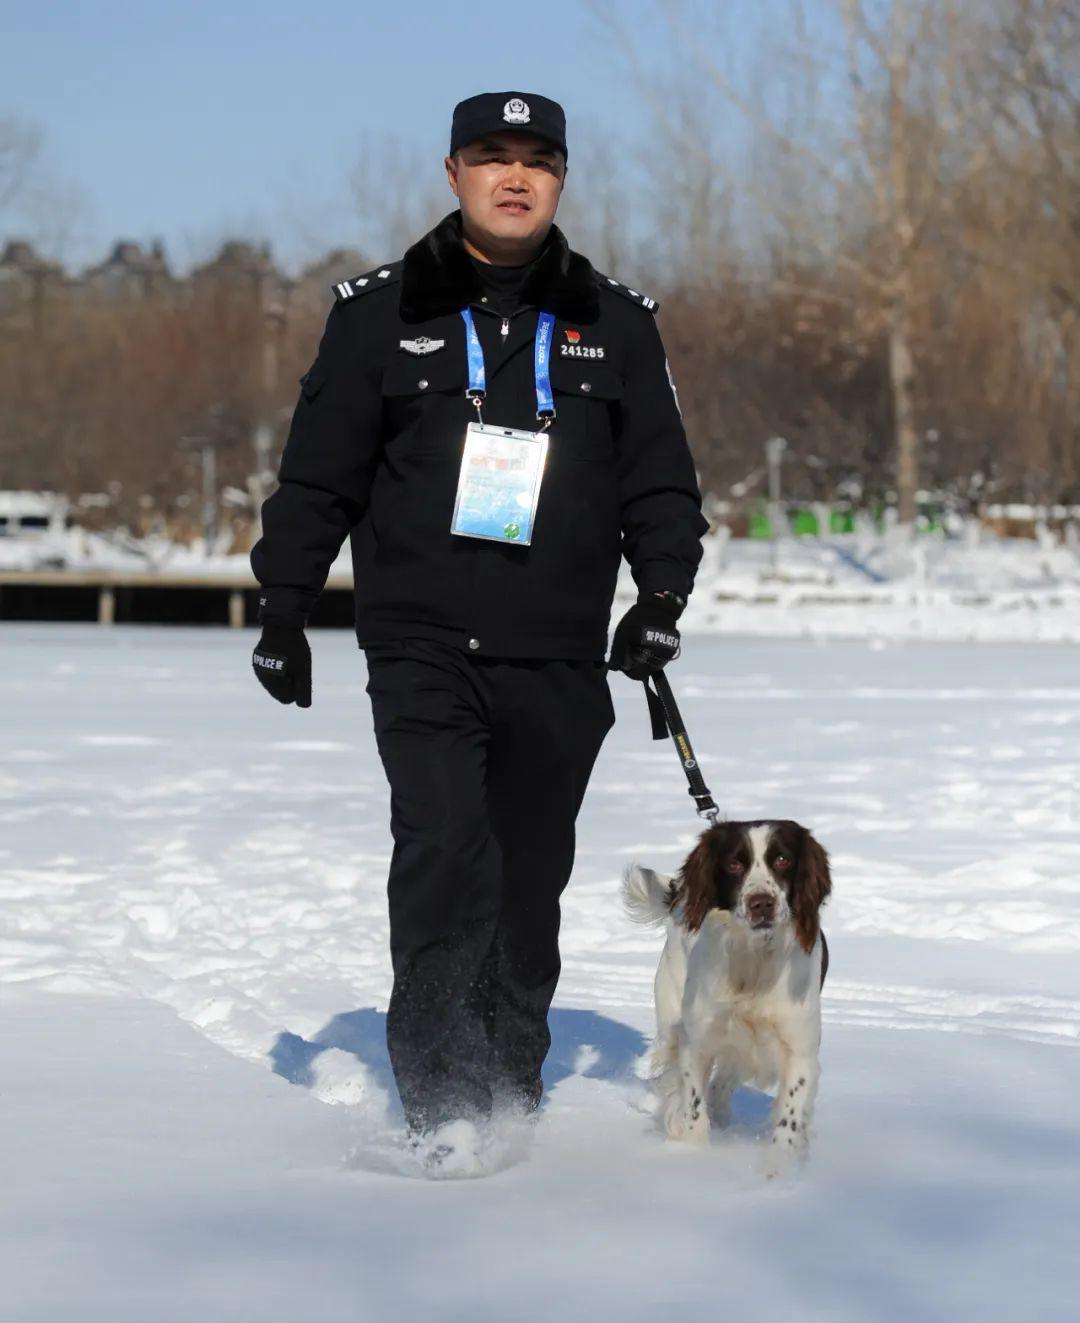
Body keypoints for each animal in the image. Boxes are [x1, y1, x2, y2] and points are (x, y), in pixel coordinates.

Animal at [619, 814, 831, 1180]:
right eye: (734, 863)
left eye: (783, 859)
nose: (762, 903)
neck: (754, 961)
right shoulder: (697, 1041)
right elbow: (692, 1106)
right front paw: (695, 1156)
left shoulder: (799, 1051)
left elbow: (789, 1119)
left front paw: (778, 1173)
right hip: (673, 1016)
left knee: (721, 1085)